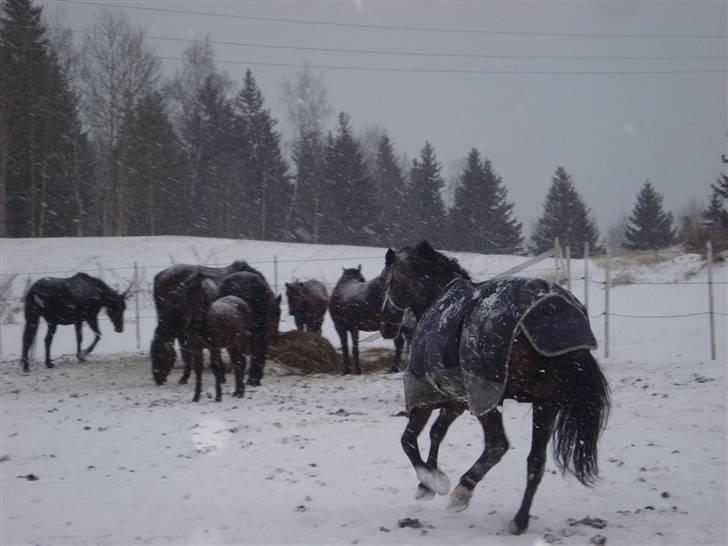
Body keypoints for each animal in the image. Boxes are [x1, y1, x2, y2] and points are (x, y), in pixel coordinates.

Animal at [177, 272, 253, 400]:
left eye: (200, 297)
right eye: (185, 297)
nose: (192, 324)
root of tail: (239, 300)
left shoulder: (214, 348)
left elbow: (216, 368)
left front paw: (218, 396)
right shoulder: (196, 348)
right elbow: (198, 370)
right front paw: (196, 397)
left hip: (241, 340)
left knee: (241, 362)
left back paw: (241, 392)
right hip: (231, 344)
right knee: (236, 362)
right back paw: (236, 392)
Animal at [378, 240, 612, 532]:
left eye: (387, 282)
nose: (385, 324)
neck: (437, 299)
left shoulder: (426, 396)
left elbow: (408, 440)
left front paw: (434, 482)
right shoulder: (457, 400)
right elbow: (436, 433)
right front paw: (427, 484)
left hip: (490, 397)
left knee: (497, 445)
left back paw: (462, 492)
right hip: (545, 403)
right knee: (535, 460)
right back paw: (519, 520)